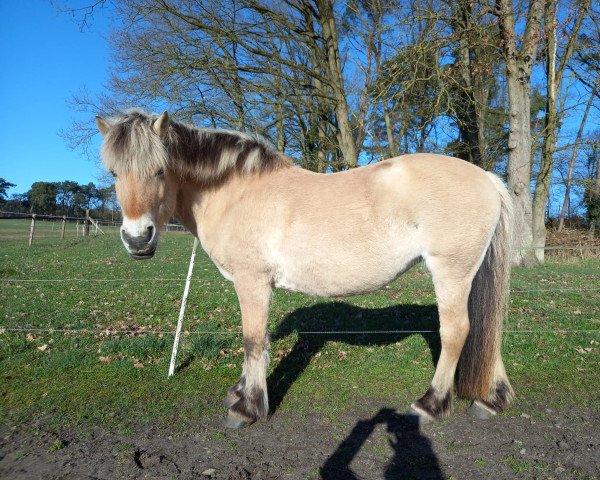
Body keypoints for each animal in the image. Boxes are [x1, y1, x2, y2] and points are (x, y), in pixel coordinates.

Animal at [96, 110, 512, 430]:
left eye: (160, 170)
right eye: (114, 173)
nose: (137, 239)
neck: (236, 192)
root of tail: (487, 178)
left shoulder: (252, 282)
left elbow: (252, 340)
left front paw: (247, 408)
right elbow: (256, 341)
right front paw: (240, 392)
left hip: (451, 273)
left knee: (457, 331)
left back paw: (431, 404)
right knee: (488, 328)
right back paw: (491, 400)